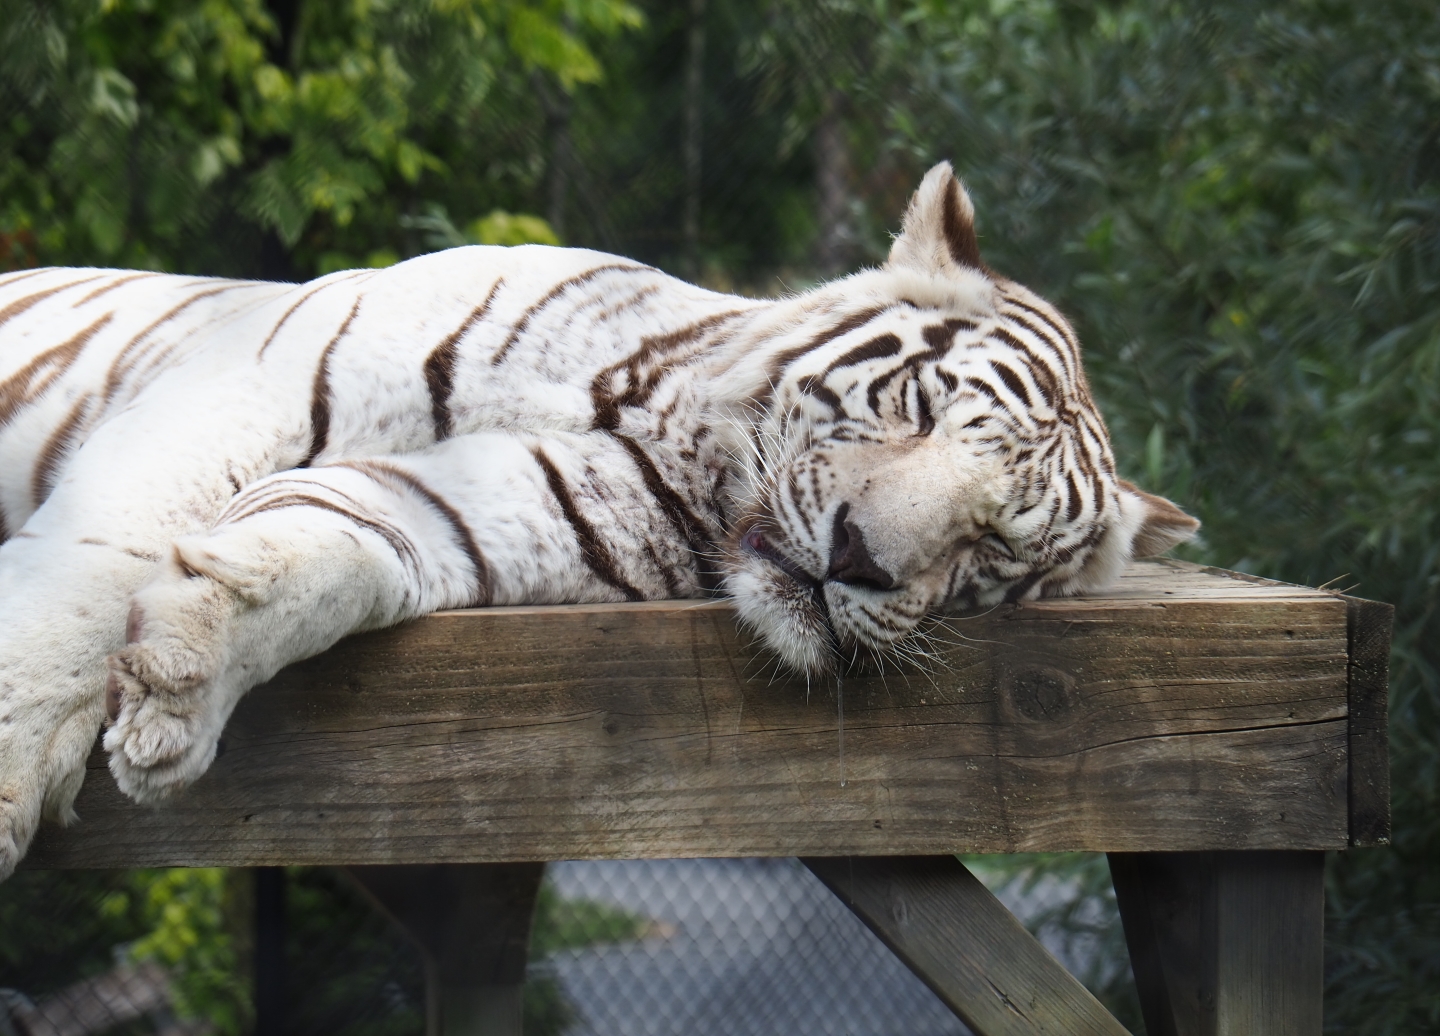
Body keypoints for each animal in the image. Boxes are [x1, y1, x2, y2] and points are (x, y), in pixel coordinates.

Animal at [0, 162, 1198, 879]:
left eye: (993, 543)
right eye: (917, 409)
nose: (859, 558)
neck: (683, 442)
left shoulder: (503, 505)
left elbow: (339, 547)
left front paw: (184, 675)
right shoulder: (263, 377)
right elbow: (98, 555)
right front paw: (17, 760)